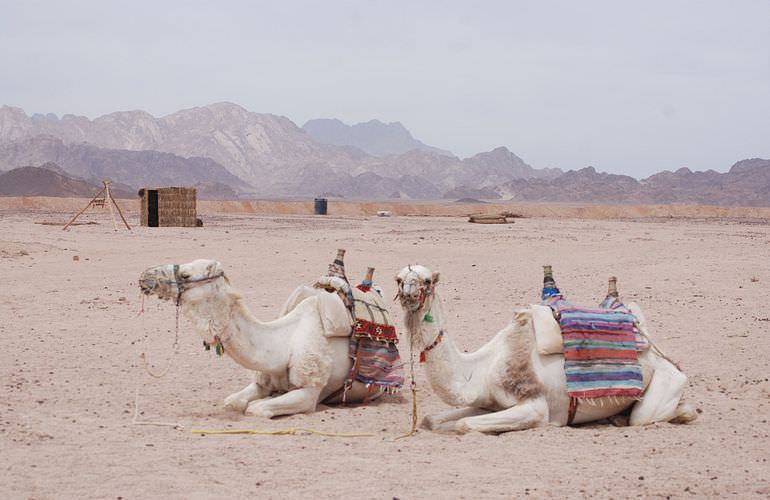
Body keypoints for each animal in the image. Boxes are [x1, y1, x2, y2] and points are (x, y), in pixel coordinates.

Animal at [139, 260, 384, 416]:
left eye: (185, 275)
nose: (145, 276)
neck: (282, 343)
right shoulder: (262, 379)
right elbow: (232, 402)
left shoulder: (309, 391)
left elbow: (256, 408)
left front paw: (263, 402)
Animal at [396, 266, 696, 434]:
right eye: (399, 279)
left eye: (426, 281)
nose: (409, 294)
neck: (479, 369)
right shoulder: (485, 402)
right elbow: (431, 419)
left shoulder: (534, 405)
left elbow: (463, 425)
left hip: (667, 379)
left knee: (649, 415)